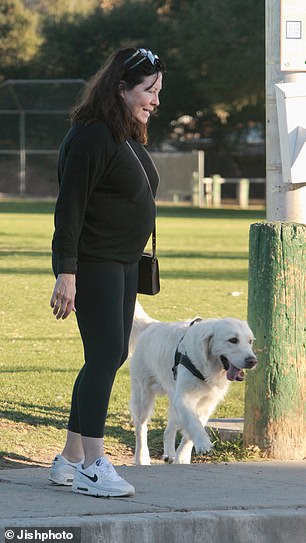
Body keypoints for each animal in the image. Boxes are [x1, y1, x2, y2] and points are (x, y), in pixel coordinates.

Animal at [128, 302, 256, 464]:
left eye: (250, 341)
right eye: (233, 340)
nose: (253, 361)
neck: (208, 367)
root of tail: (151, 325)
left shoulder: (207, 403)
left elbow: (192, 430)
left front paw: (182, 457)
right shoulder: (184, 398)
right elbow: (193, 422)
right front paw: (203, 443)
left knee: (168, 429)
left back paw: (169, 454)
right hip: (143, 396)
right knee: (141, 429)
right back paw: (141, 458)